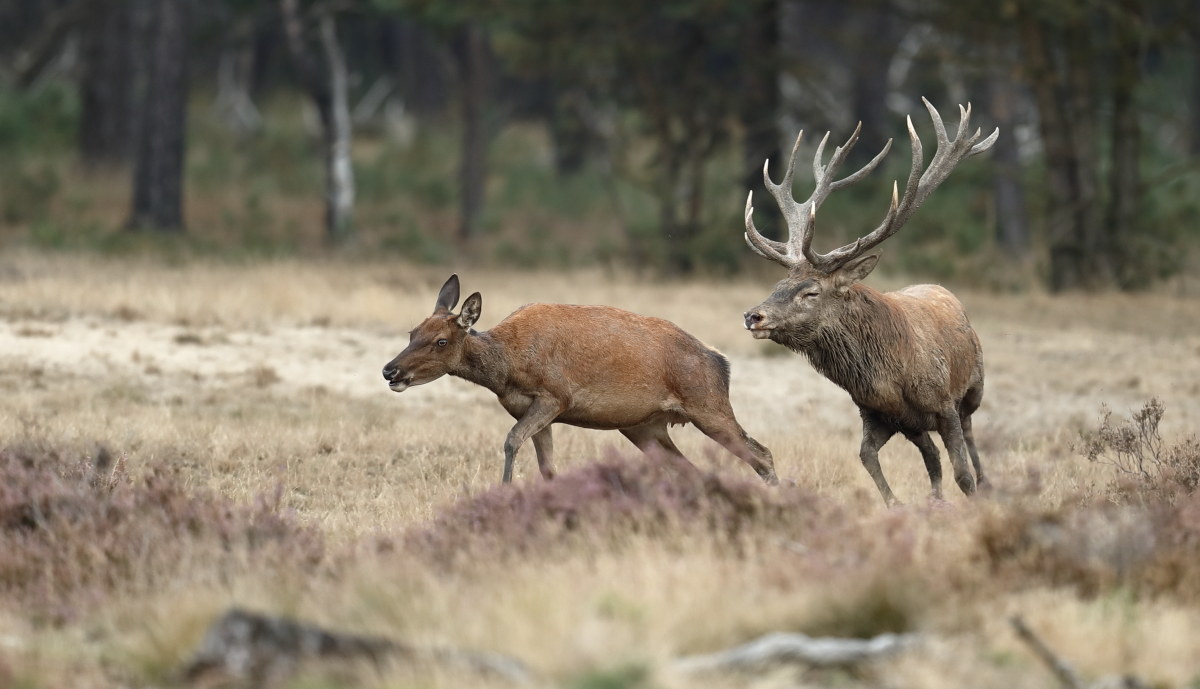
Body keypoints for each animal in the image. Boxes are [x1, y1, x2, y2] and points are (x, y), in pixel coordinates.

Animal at [382, 275, 778, 485]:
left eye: (441, 341)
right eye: (412, 332)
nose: (390, 371)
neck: (508, 369)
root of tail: (720, 361)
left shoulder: (555, 396)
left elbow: (511, 441)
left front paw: (504, 490)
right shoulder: (532, 410)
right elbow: (547, 465)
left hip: (708, 404)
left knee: (762, 454)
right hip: (645, 427)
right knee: (691, 468)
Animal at [741, 97, 998, 507]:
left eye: (811, 292)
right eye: (779, 283)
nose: (754, 316)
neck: (893, 380)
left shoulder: (943, 404)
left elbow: (962, 473)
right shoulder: (878, 414)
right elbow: (868, 458)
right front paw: (898, 505)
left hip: (974, 388)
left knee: (970, 441)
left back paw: (985, 484)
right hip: (914, 425)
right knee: (931, 456)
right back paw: (935, 500)